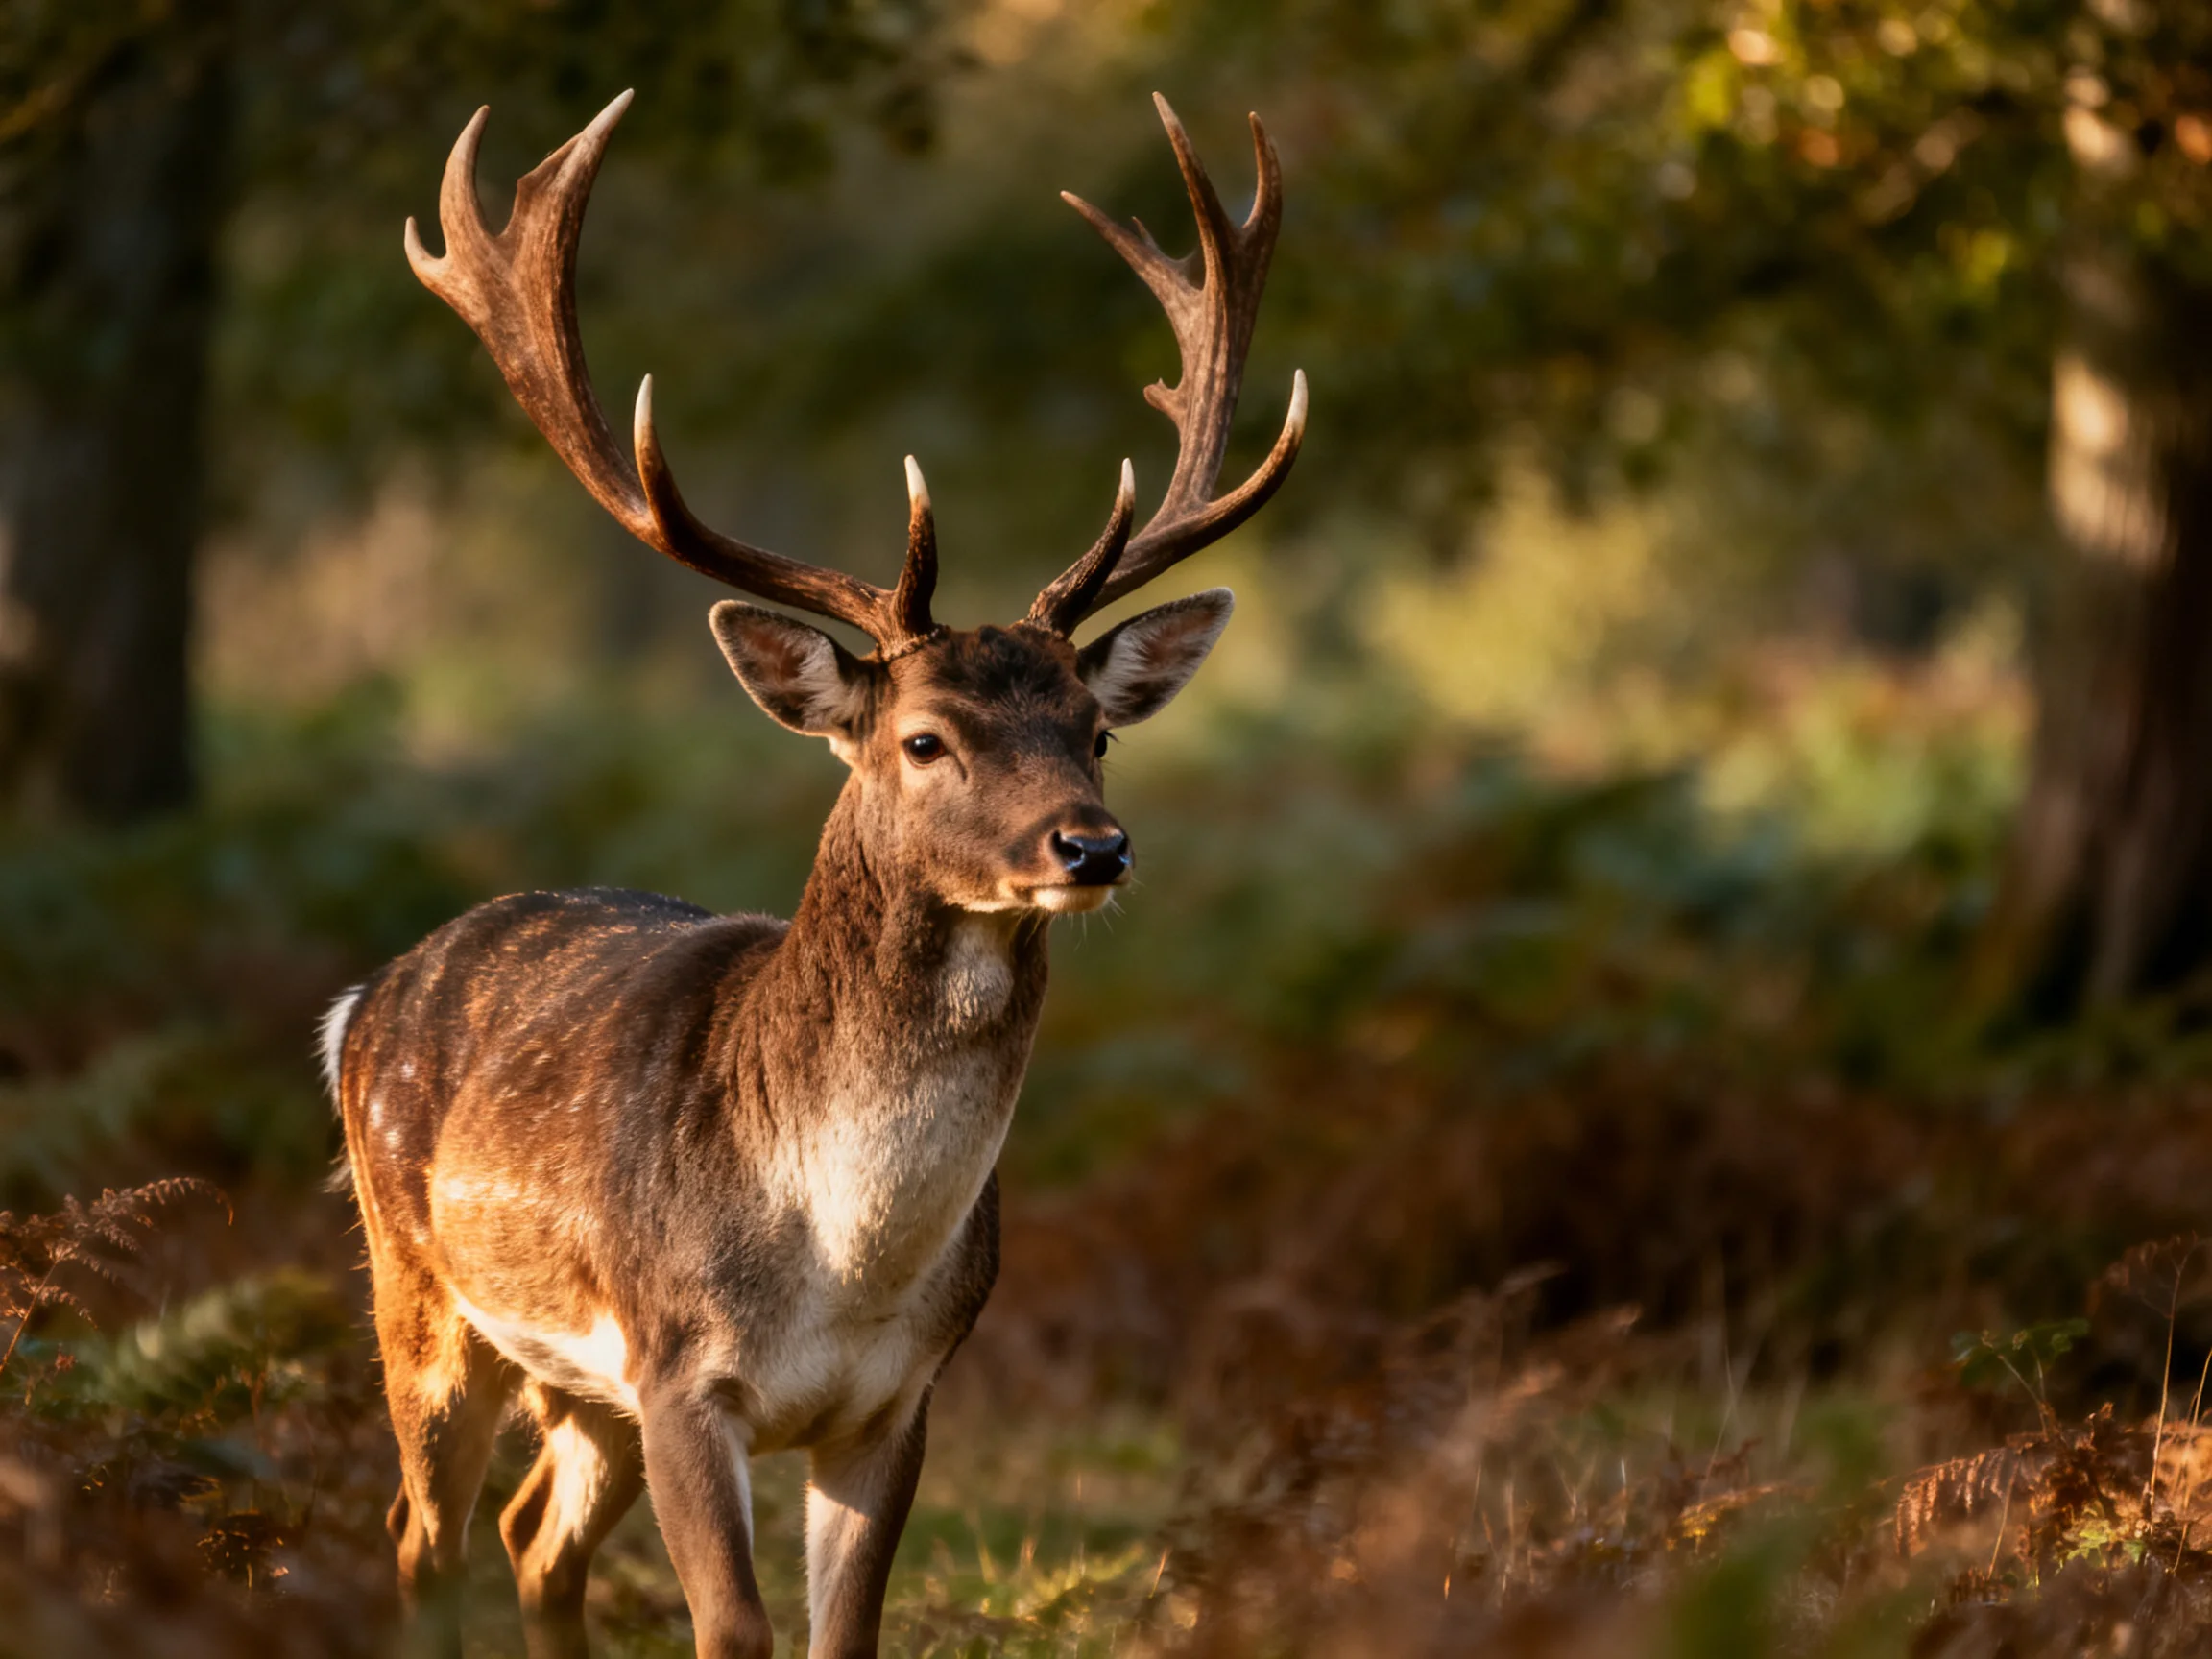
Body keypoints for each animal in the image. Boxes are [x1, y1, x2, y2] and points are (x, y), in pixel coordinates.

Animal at [325, 88, 1304, 1659]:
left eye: (1093, 730)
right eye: (923, 737)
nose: (1092, 845)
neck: (841, 1268)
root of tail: (363, 1003)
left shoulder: (898, 1402)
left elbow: (847, 1633)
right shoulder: (679, 1369)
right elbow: (734, 1630)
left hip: (579, 1391)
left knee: (536, 1543)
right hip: (421, 1289)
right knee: (422, 1542)